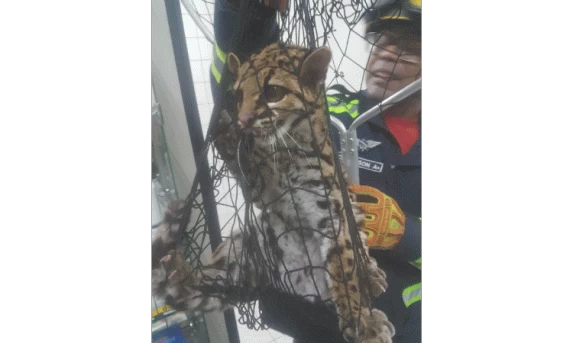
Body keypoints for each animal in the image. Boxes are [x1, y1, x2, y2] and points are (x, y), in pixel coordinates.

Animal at [151, 43, 394, 343]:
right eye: (238, 94)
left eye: (272, 93)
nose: (242, 121)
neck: (287, 150)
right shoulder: (260, 190)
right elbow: (243, 165)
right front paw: (225, 131)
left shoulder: (331, 211)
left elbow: (345, 268)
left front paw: (362, 321)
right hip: (243, 249)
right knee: (195, 287)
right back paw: (176, 271)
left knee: (360, 242)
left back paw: (371, 278)